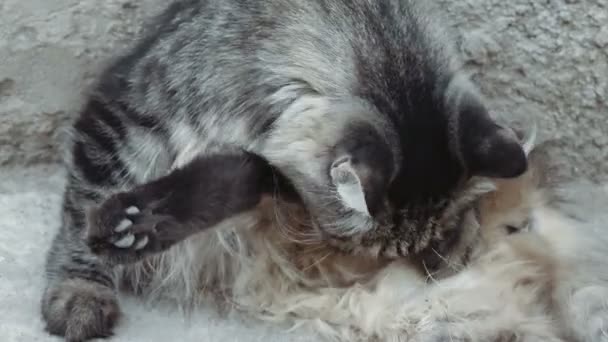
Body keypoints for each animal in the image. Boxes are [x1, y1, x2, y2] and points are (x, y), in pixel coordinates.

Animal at [40, 0, 528, 342]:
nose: (415, 259)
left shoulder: (272, 171)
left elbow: (226, 180)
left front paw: (143, 224)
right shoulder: (124, 117)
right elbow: (82, 213)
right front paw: (81, 289)